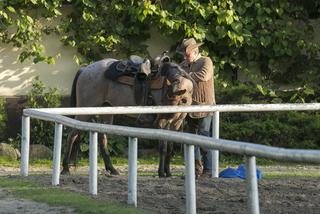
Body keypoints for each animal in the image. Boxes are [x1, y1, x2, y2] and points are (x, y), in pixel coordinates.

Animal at [61, 55, 194, 177]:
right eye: (166, 96)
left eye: (170, 98)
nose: (160, 118)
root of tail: (85, 69)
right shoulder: (164, 124)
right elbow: (163, 147)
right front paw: (161, 172)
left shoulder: (176, 123)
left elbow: (170, 147)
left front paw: (168, 172)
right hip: (85, 111)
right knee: (72, 135)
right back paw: (65, 168)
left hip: (106, 111)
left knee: (102, 138)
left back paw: (112, 169)